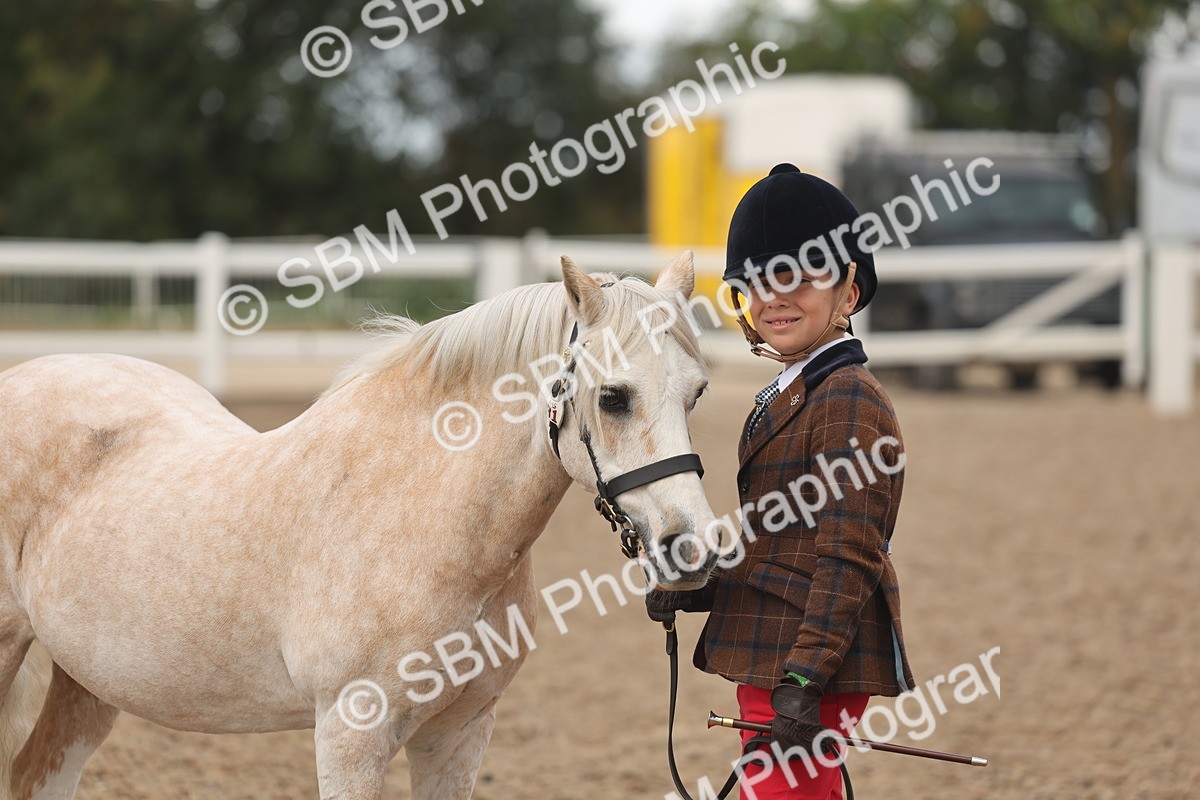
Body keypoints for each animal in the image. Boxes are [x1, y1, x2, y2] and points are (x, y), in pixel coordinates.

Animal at [0, 252, 720, 799]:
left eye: (697, 394)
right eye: (613, 397)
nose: (693, 547)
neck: (424, 522)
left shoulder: (459, 733)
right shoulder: (351, 737)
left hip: (89, 682)